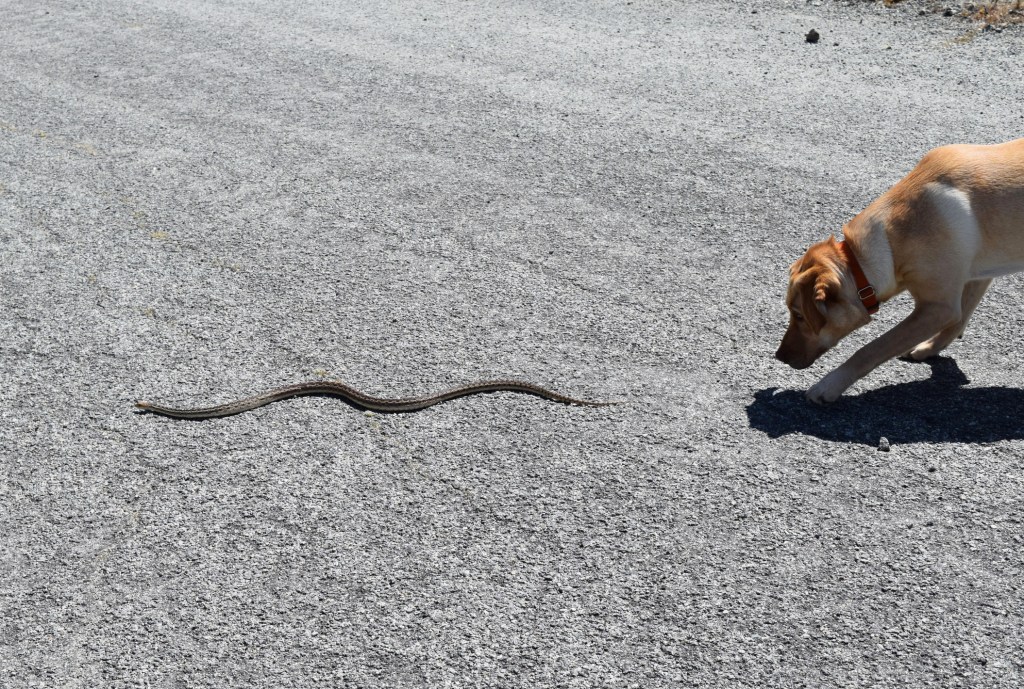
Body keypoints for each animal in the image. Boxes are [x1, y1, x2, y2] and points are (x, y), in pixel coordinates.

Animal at [774, 136, 1024, 403]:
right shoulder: (977, 276)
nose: (779, 356)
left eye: (799, 315)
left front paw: (829, 385)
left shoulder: (938, 308)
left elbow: (872, 348)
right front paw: (931, 348)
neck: (892, 240)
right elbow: (960, 318)